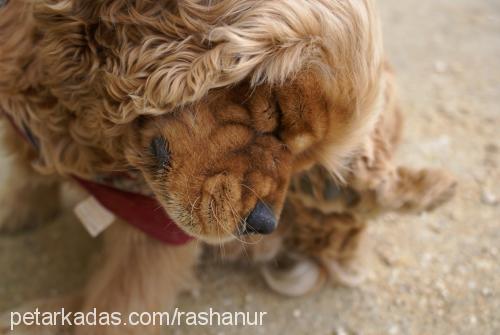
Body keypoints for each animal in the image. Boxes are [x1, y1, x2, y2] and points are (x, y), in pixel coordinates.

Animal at [0, 0, 454, 335]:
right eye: (277, 116)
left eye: (303, 159)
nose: (264, 223)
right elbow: (29, 168)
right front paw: (20, 208)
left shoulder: (156, 229)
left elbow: (119, 305)